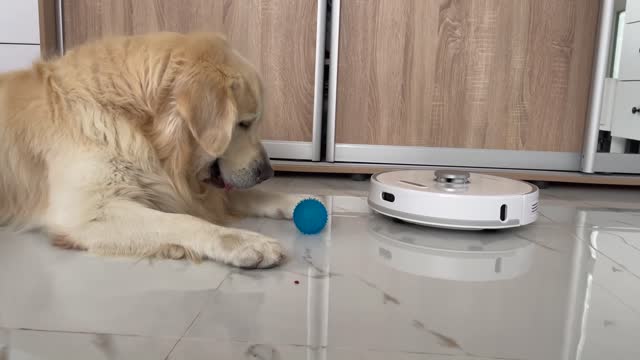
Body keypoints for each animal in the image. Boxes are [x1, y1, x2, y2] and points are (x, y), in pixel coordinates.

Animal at [0, 32, 304, 268]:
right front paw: (244, 241)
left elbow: (252, 195)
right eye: (244, 123)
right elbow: (183, 221)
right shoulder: (88, 212)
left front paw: (297, 200)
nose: (267, 172)